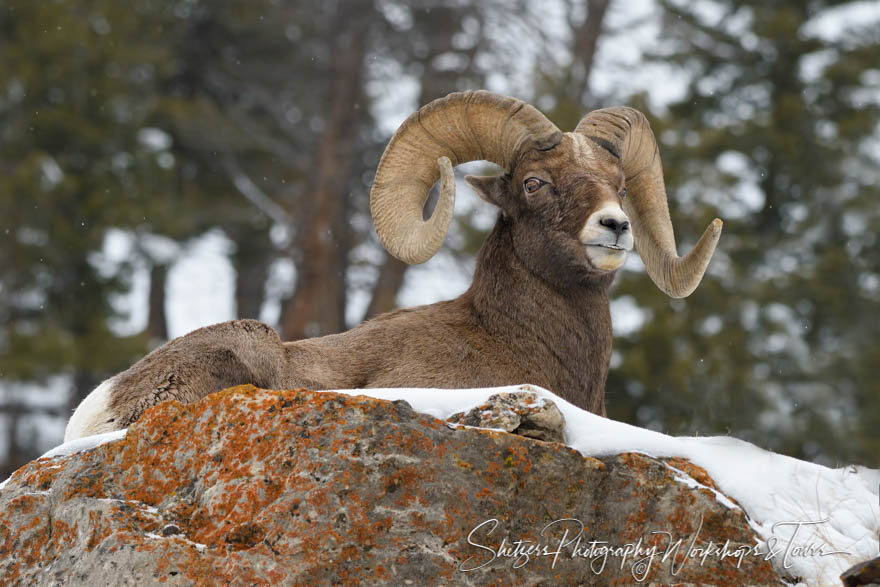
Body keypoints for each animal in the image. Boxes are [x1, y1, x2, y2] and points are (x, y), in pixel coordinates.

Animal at [62, 90, 720, 440]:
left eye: (618, 185)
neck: (515, 337)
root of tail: (100, 411)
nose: (615, 226)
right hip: (253, 340)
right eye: (535, 183)